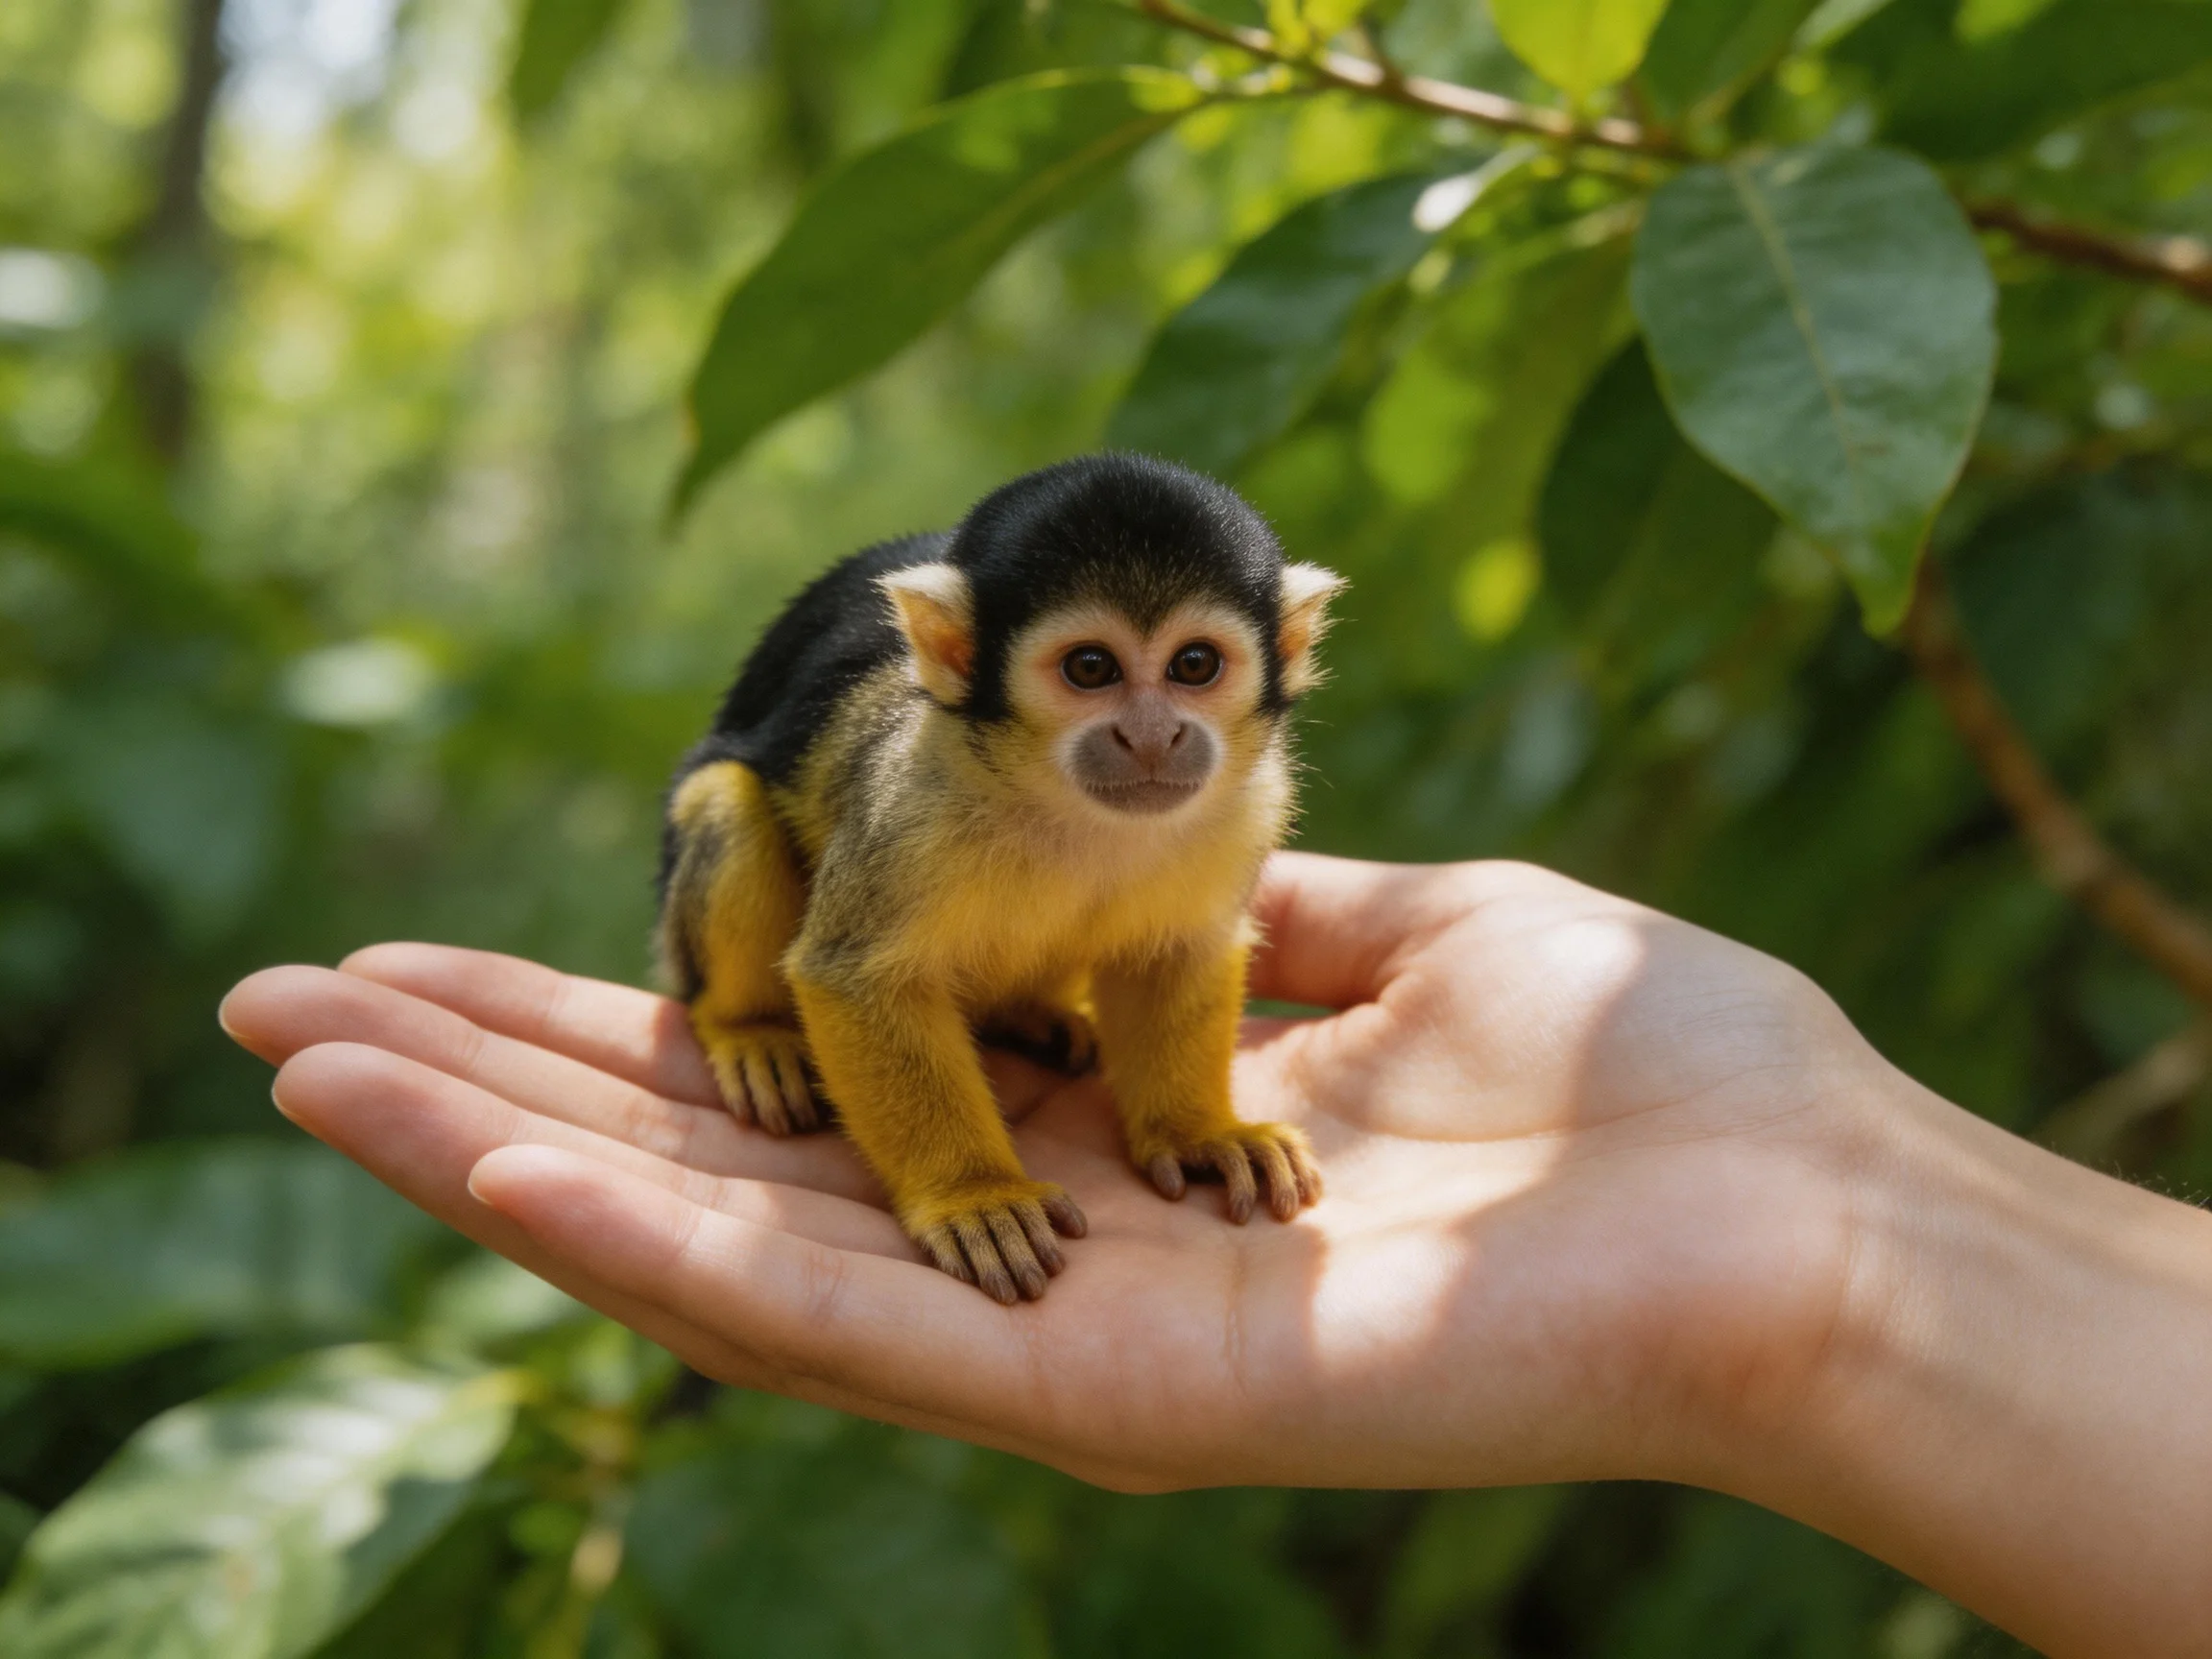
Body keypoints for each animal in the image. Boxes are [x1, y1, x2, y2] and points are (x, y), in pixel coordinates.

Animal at [655, 453, 1343, 1303]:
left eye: (1194, 664)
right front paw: (975, 1196)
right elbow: (853, 977)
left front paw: (1200, 1133)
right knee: (729, 798)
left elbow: (1181, 948)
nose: (1152, 735)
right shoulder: (908, 798)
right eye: (1091, 667)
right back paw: (747, 1027)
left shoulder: (1252, 802)